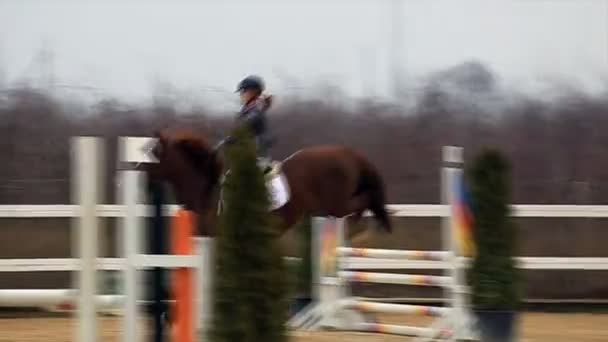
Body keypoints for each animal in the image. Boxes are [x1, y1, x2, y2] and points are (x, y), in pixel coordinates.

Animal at [141, 125, 394, 240]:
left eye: (154, 154)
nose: (142, 177)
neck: (207, 194)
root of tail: (348, 152)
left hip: (337, 203)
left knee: (364, 201)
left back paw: (360, 230)